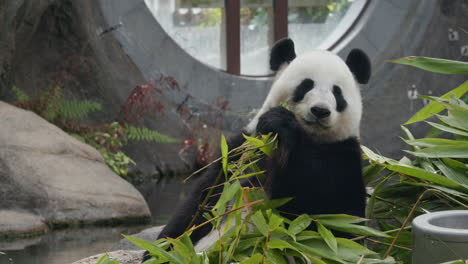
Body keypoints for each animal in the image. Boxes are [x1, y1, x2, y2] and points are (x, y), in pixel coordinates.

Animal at [142, 37, 370, 262]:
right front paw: (158, 250)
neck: (311, 136)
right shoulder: (240, 150)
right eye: (306, 85)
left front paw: (282, 124)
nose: (320, 110)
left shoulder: (343, 155)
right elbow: (202, 202)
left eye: (337, 93)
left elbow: (327, 211)